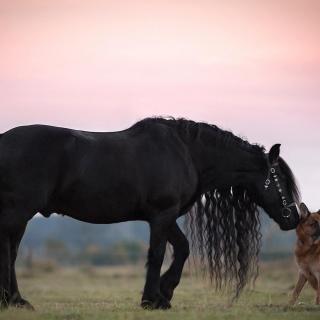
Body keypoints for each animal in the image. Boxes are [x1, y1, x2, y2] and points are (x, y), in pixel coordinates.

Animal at [0, 117, 300, 310]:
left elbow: (182, 248)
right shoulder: (162, 214)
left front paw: (164, 293)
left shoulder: (166, 216)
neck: (187, 153)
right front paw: (151, 300)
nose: (294, 217)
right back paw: (14, 300)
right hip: (19, 212)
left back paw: (14, 301)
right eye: (281, 180)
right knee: (8, 252)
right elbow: (156, 254)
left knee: (11, 252)